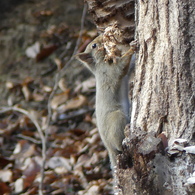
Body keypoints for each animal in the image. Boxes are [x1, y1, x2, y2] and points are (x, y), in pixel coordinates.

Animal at [76, 34, 136, 168]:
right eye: (94, 45)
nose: (101, 35)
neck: (100, 64)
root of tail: (108, 147)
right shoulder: (110, 71)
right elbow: (122, 67)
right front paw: (131, 48)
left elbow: (130, 67)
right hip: (116, 119)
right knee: (119, 144)